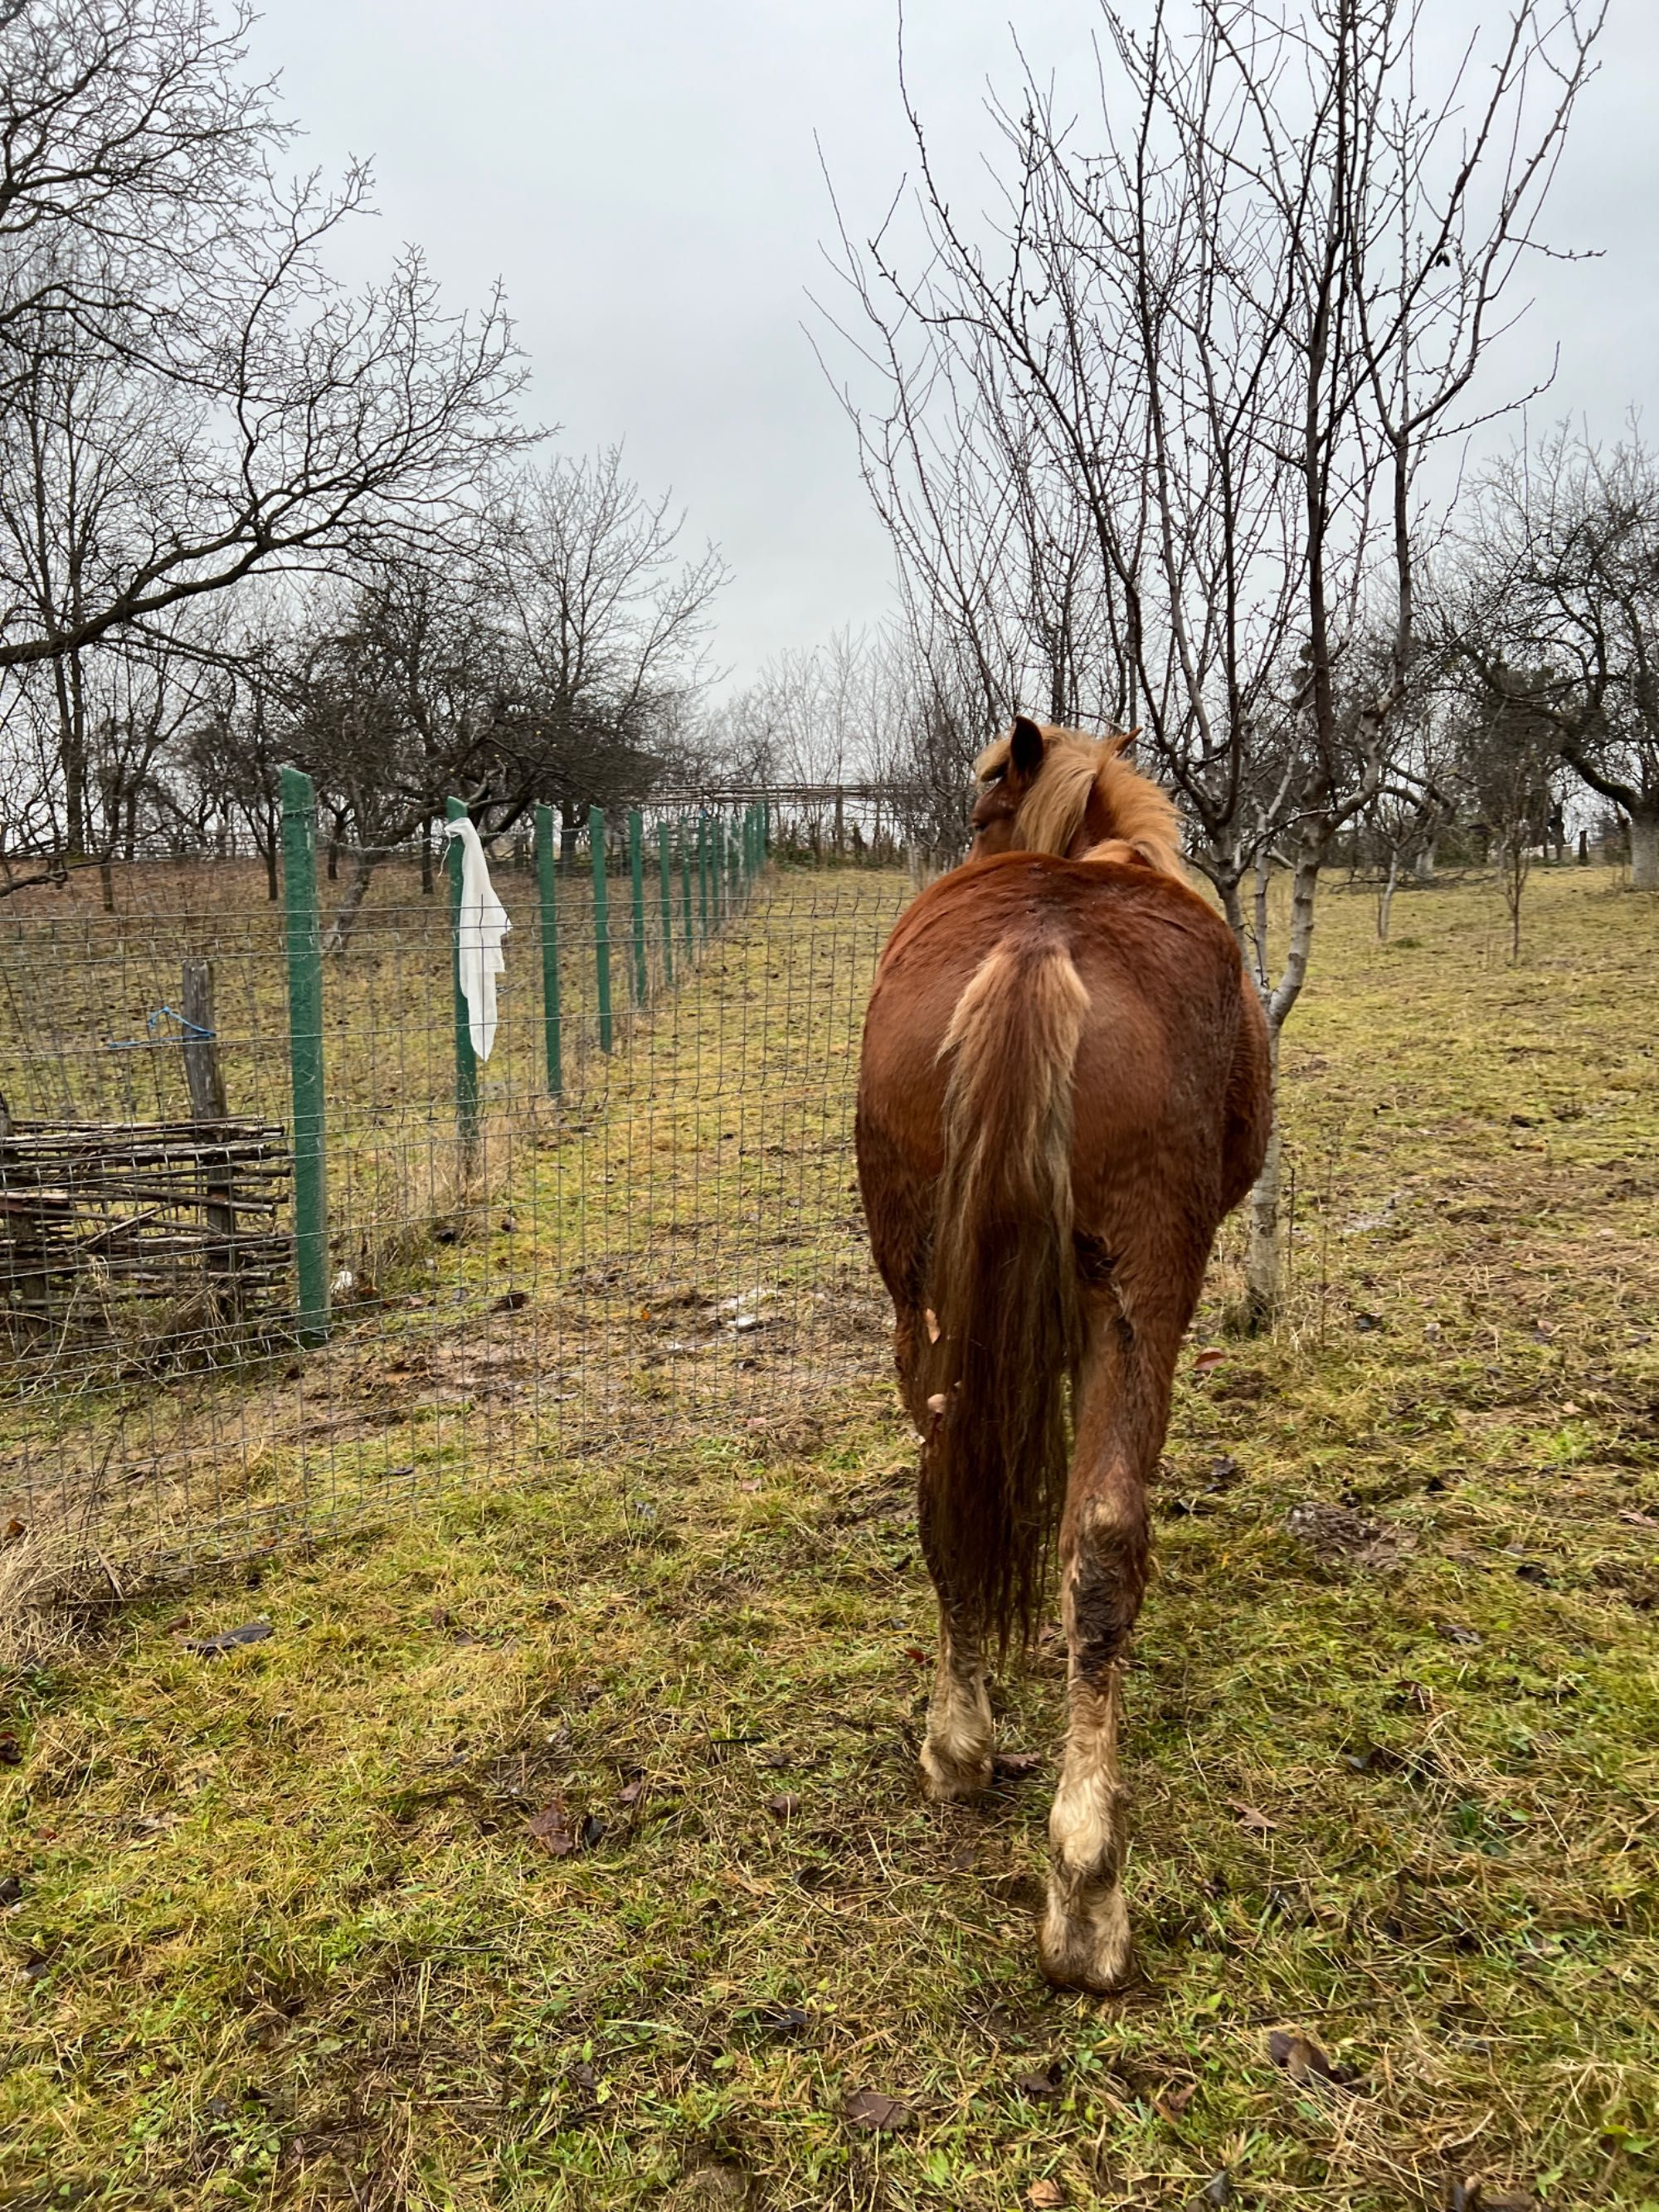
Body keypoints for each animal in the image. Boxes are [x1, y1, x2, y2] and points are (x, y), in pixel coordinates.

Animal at [858, 717, 1274, 1999]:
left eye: (980, 809)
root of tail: (1041, 936)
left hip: (921, 1296)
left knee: (944, 1498)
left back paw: (957, 1745)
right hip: (1145, 1297)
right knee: (1104, 1538)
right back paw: (1087, 1890)